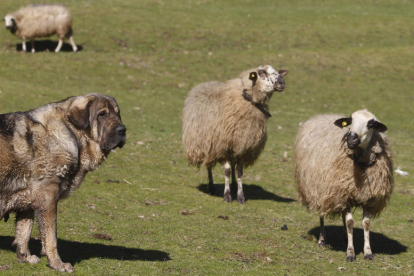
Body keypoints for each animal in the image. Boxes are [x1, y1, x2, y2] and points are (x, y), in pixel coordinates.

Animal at [0, 93, 125, 272]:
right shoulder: (48, 198)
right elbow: (51, 237)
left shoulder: (28, 199)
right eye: (102, 115)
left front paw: (25, 257)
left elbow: (24, 231)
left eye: (117, 114)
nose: (123, 130)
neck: (70, 132)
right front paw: (57, 264)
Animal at [183, 64, 290, 203]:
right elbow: (227, 171)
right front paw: (227, 195)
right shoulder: (222, 147)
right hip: (207, 143)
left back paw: (233, 185)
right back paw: (211, 186)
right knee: (209, 165)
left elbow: (239, 171)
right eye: (261, 72)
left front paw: (240, 196)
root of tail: (206, 83)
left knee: (232, 164)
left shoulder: (243, 147)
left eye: (278, 72)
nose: (282, 83)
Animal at [294, 109, 392, 260]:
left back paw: (346, 237)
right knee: (322, 213)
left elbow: (366, 224)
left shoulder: (367, 196)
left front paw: (368, 252)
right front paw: (350, 253)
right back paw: (322, 240)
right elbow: (350, 223)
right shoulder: (344, 194)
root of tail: (322, 115)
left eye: (370, 124)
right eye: (350, 120)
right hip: (321, 187)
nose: (350, 139)